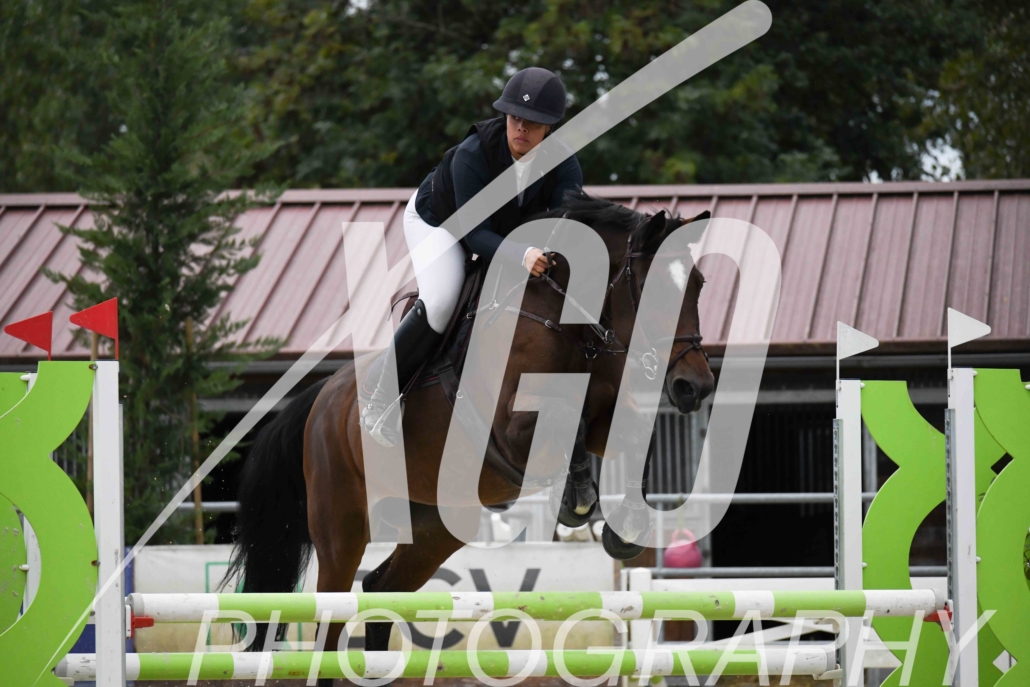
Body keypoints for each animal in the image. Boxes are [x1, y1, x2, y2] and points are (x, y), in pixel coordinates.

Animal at [226, 191, 714, 669]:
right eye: (653, 289)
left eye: (698, 285)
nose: (695, 386)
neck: (566, 322)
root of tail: (322, 397)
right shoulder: (512, 429)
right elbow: (565, 422)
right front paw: (576, 504)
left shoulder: (603, 415)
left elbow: (633, 435)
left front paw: (624, 530)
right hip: (341, 522)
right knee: (331, 615)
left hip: (437, 524)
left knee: (382, 590)